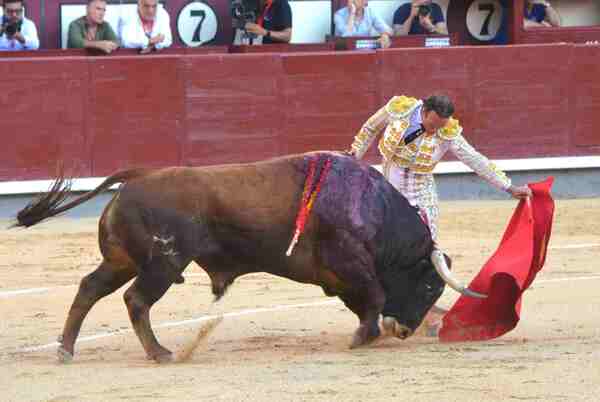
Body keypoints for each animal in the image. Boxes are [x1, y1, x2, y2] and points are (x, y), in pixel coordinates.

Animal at [15, 151, 483, 363]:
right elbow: (375, 295)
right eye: (429, 282)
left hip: (122, 260)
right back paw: (162, 352)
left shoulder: (338, 278)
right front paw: (362, 337)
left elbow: (367, 301)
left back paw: (66, 349)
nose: (403, 330)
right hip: (163, 263)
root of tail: (138, 177)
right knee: (136, 300)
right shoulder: (352, 264)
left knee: (90, 288)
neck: (373, 208)